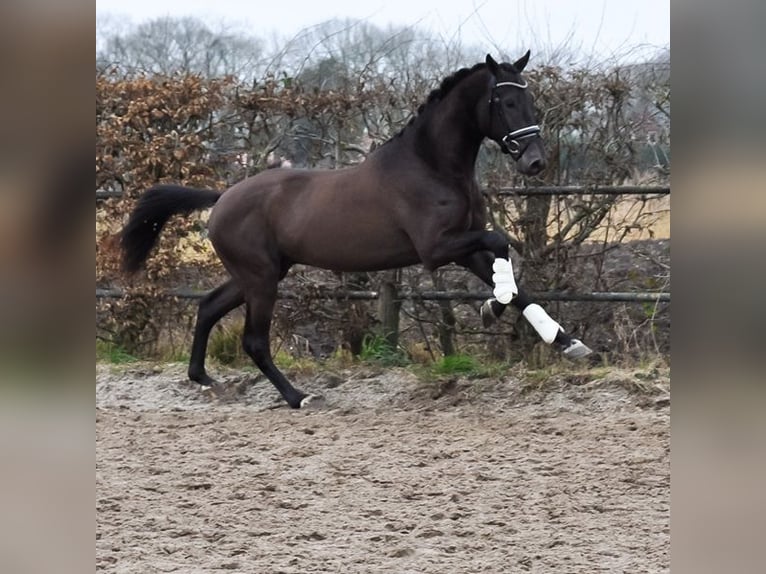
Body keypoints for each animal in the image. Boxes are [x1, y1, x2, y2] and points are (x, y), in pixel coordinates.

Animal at [123, 54, 592, 410]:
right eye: (505, 101)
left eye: (528, 98)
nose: (535, 161)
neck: (433, 166)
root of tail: (223, 197)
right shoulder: (437, 249)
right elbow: (502, 242)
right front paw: (492, 308)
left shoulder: (463, 246)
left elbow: (515, 282)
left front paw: (566, 342)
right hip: (260, 278)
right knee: (254, 339)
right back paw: (298, 397)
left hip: (258, 274)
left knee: (207, 307)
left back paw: (203, 378)